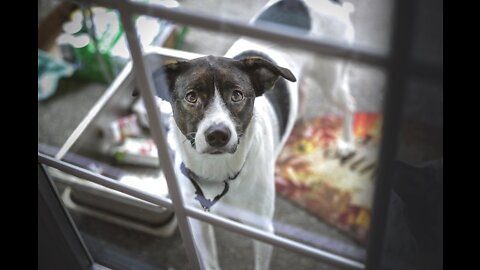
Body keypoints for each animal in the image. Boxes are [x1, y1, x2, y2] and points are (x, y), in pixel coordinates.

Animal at [149, 0, 356, 270]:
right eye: (191, 97)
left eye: (237, 95)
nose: (218, 135)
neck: (218, 169)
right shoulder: (197, 222)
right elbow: (210, 261)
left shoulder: (262, 231)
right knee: (303, 91)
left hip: (332, 80)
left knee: (348, 105)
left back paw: (346, 143)